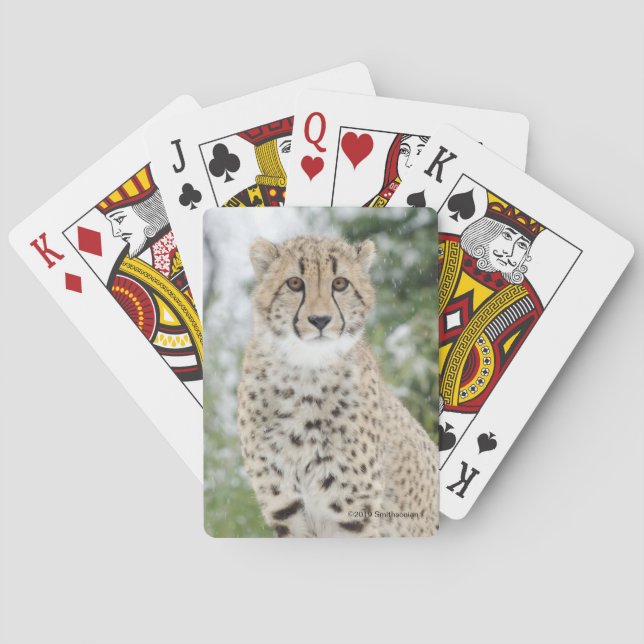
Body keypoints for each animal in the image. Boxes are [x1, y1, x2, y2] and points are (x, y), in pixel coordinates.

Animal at [236, 235, 438, 537]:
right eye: (294, 283)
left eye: (340, 283)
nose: (320, 320)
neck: (304, 375)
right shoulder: (286, 510)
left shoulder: (354, 514)